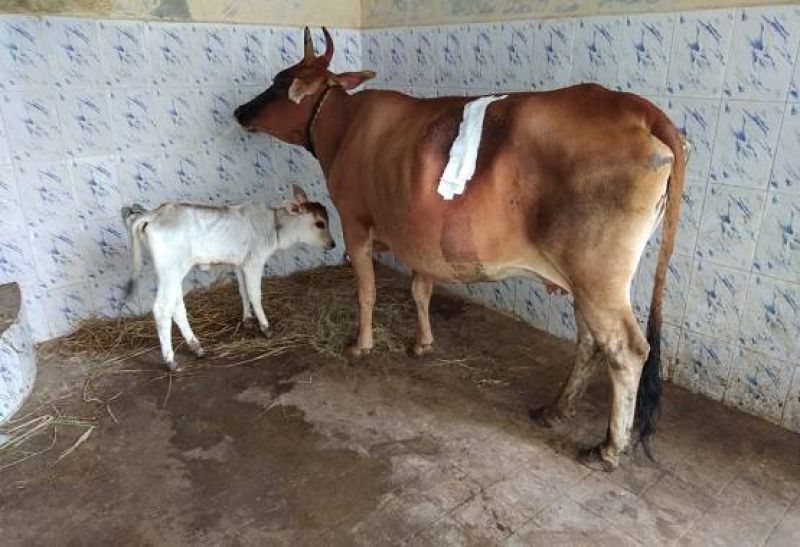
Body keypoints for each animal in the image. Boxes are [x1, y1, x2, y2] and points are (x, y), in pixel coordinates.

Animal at [121, 185, 335, 371]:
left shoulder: (239, 264)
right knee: (162, 308)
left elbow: (243, 291)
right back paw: (171, 361)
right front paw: (265, 327)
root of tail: (154, 213)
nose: (332, 244)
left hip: (171, 274)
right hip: (171, 271)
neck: (274, 226)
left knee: (177, 307)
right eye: (320, 223)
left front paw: (247, 320)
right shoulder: (254, 263)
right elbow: (255, 294)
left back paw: (196, 347)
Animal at [233, 28, 687, 470]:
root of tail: (633, 106)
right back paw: (554, 410)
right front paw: (422, 342)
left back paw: (608, 448)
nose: (239, 112)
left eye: (280, 82)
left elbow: (366, 291)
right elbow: (420, 291)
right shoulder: (419, 236)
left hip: (599, 276)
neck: (345, 128)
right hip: (586, 280)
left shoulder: (354, 223)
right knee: (591, 341)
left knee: (626, 350)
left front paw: (361, 344)